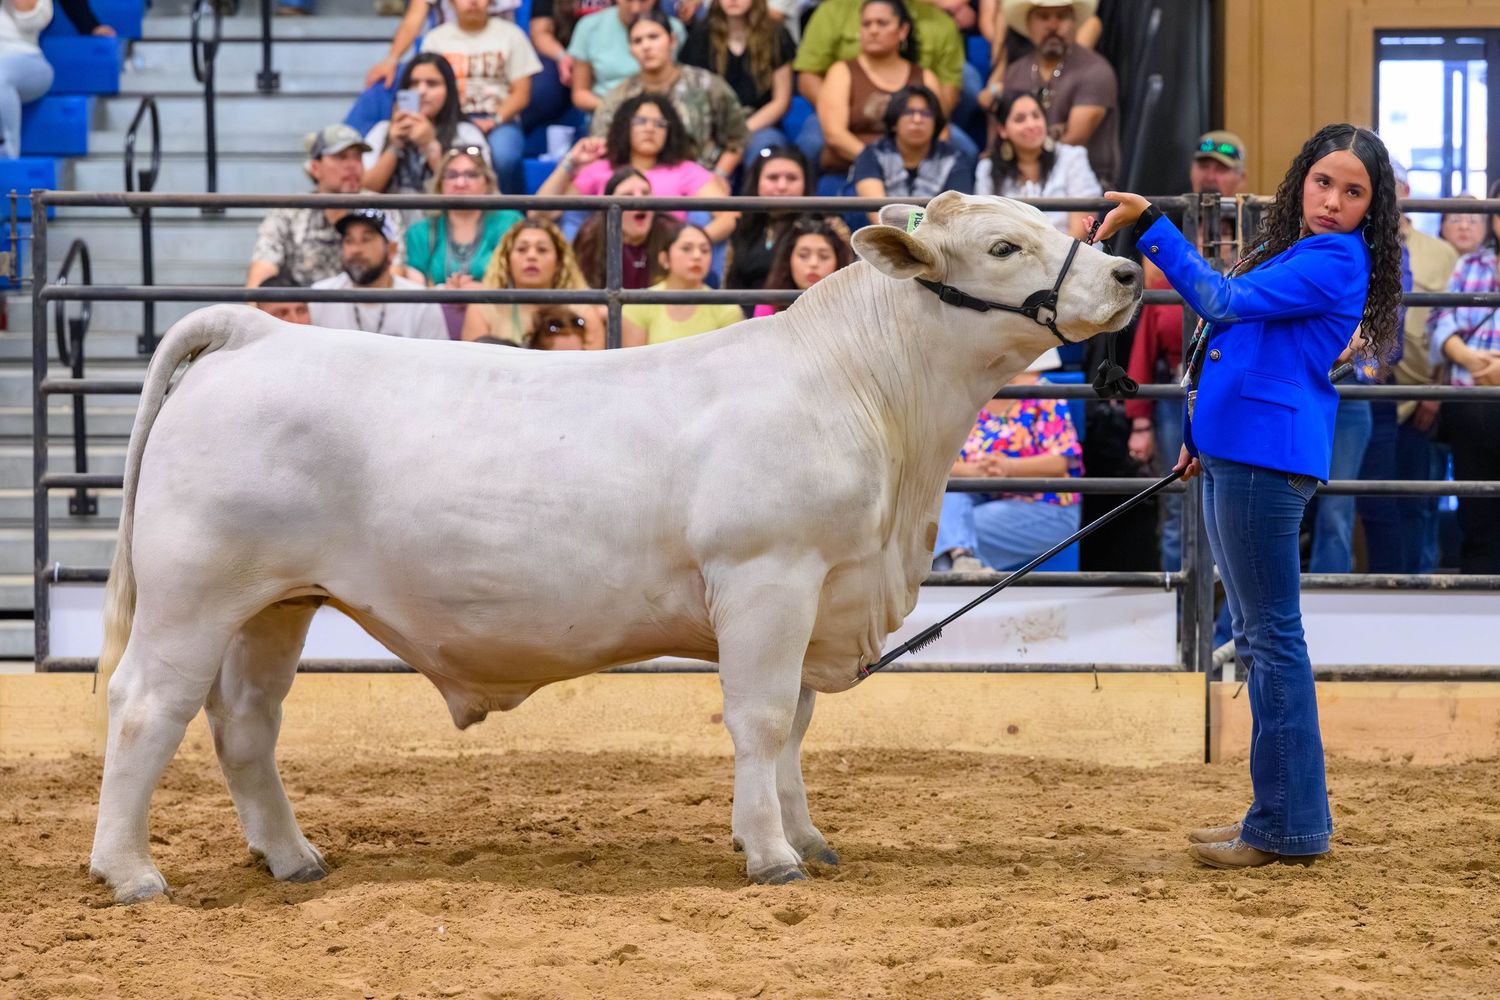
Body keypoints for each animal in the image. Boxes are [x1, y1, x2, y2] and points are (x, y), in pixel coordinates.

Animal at [89, 193, 1141, 904]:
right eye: (1004, 244)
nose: (1129, 273)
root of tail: (258, 332)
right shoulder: (768, 577)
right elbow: (762, 720)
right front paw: (771, 856)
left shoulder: (820, 592)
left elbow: (797, 727)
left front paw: (807, 836)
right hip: (194, 594)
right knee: (146, 706)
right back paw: (130, 870)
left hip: (277, 603)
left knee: (245, 723)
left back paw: (293, 857)